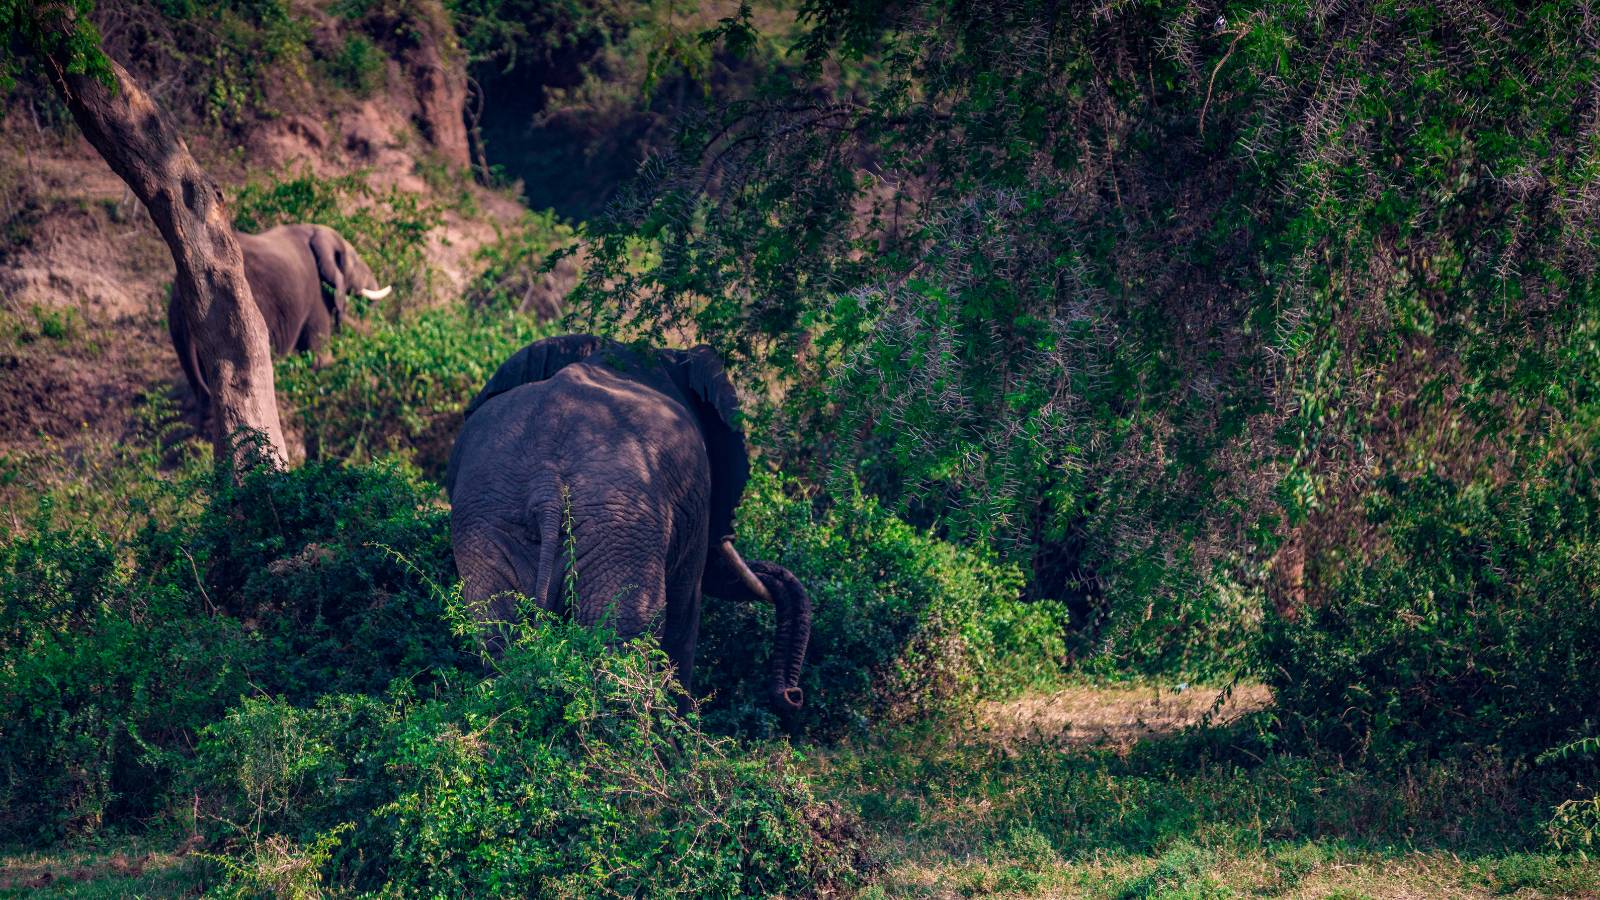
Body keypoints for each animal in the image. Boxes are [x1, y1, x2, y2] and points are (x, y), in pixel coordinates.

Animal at [445, 334, 811, 712]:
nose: (793, 696)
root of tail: (546, 487)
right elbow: (685, 614)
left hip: (490, 521)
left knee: (498, 636)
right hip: (619, 525)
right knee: (620, 638)